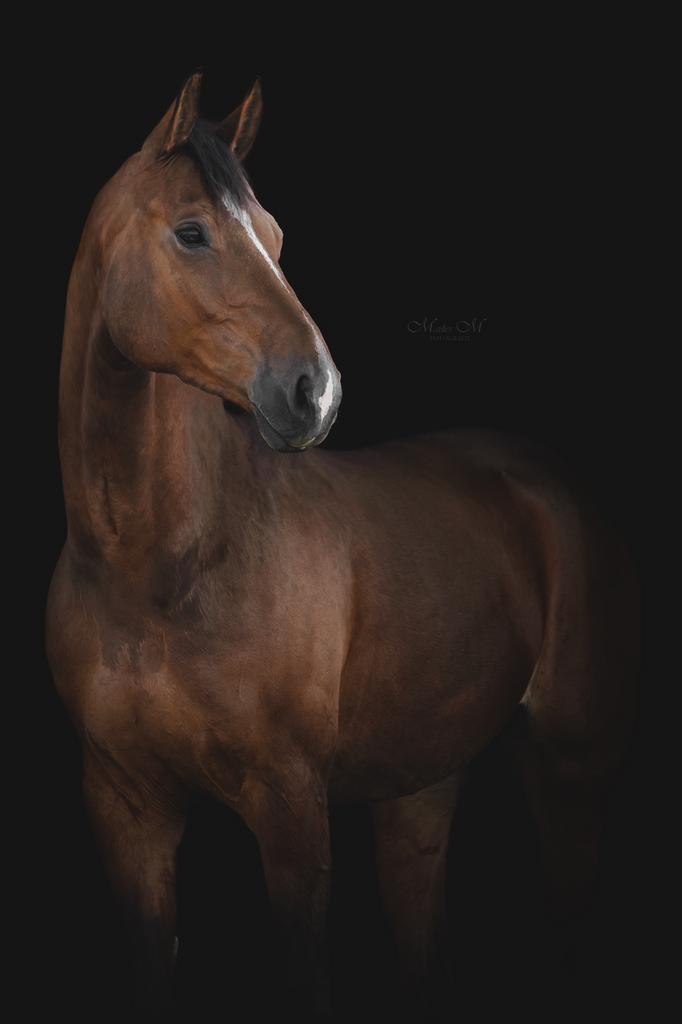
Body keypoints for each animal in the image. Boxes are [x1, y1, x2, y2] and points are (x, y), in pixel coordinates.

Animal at [45, 72, 640, 1022]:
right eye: (191, 232)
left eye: (278, 235)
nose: (313, 391)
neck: (157, 572)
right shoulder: (127, 811)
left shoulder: (291, 811)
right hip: (420, 790)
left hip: (571, 774)